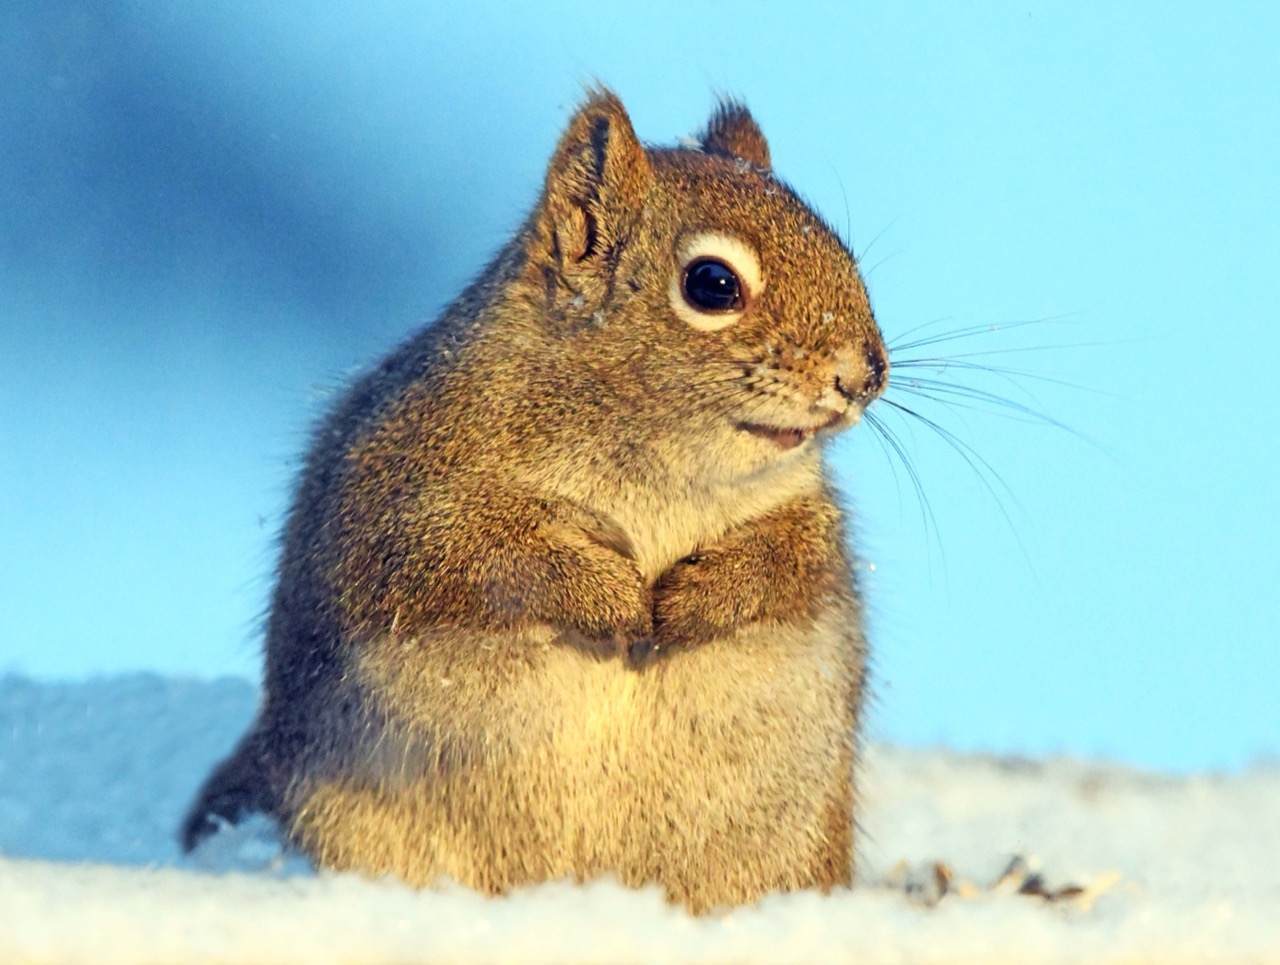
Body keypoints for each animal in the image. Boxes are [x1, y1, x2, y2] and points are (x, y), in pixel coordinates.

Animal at [181, 88, 889, 914]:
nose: (866, 374)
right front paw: (609, 594)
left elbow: (792, 563)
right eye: (713, 284)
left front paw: (700, 594)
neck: (660, 463)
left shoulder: (806, 519)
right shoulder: (405, 499)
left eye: (840, 249)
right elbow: (484, 558)